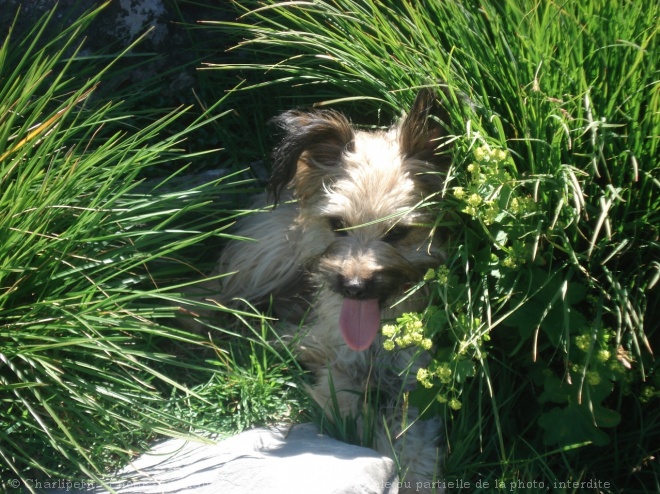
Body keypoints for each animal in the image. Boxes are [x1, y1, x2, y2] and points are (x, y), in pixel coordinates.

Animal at [188, 90, 452, 492]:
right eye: (337, 224)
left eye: (398, 233)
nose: (354, 287)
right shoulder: (334, 359)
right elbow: (346, 403)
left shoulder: (415, 381)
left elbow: (414, 437)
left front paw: (410, 472)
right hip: (271, 257)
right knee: (211, 296)